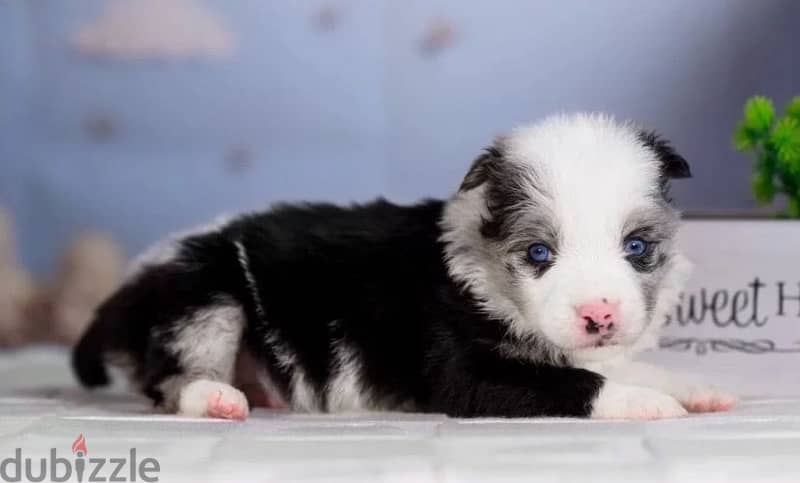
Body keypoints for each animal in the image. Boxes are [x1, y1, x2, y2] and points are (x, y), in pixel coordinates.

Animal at [73, 113, 736, 420]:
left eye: (637, 247)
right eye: (538, 254)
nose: (600, 316)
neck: (487, 275)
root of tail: (129, 288)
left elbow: (623, 365)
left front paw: (692, 388)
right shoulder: (464, 371)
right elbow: (574, 382)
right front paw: (644, 404)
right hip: (203, 295)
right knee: (170, 379)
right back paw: (216, 399)